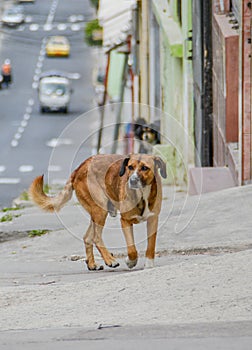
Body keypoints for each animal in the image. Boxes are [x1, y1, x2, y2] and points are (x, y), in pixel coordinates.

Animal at [29, 153, 166, 270]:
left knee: (87, 237)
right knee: (96, 237)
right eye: (130, 167)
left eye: (145, 168)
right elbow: (132, 249)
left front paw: (149, 264)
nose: (131, 181)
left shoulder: (153, 220)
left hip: (96, 213)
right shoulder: (125, 221)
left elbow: (151, 246)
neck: (142, 195)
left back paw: (92, 264)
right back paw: (110, 260)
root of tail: (79, 168)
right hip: (100, 210)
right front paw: (130, 261)